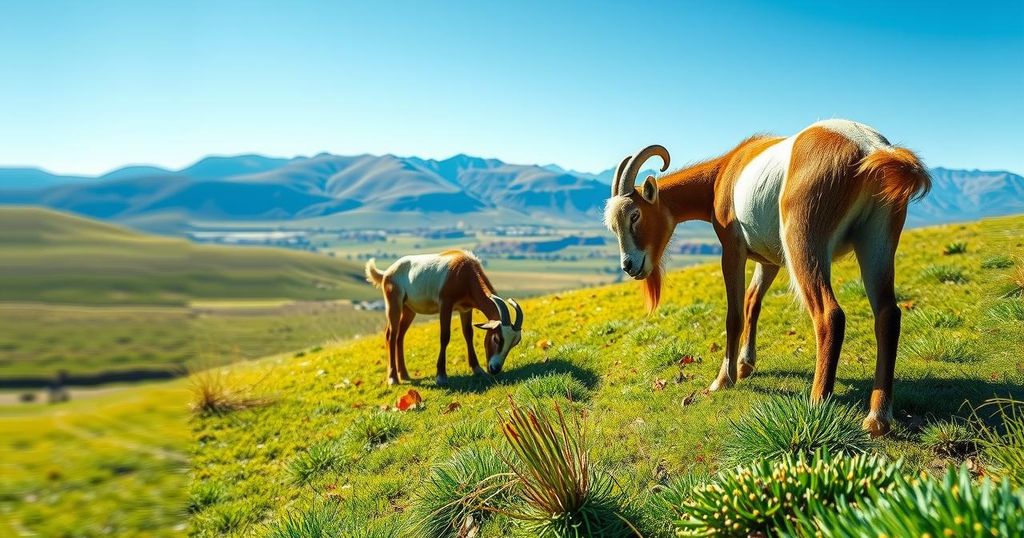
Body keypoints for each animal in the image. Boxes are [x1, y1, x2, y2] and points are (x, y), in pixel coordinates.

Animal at [366, 251, 524, 385]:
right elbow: (445, 336)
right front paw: (441, 376)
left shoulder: (465, 309)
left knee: (400, 336)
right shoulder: (445, 305)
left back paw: (404, 375)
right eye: (496, 338)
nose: (495, 369)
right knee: (391, 335)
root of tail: (387, 273)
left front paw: (478, 369)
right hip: (394, 304)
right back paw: (393, 378)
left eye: (514, 342)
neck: (464, 271)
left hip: (409, 310)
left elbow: (468, 334)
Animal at [602, 118, 933, 436]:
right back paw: (878, 418)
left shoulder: (732, 249)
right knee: (888, 314)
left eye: (635, 215)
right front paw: (745, 365)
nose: (629, 266)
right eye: (613, 226)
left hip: (803, 240)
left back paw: (817, 405)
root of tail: (870, 149)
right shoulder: (770, 261)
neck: (726, 171)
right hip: (876, 240)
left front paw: (723, 379)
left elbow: (734, 315)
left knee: (829, 315)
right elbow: (752, 302)